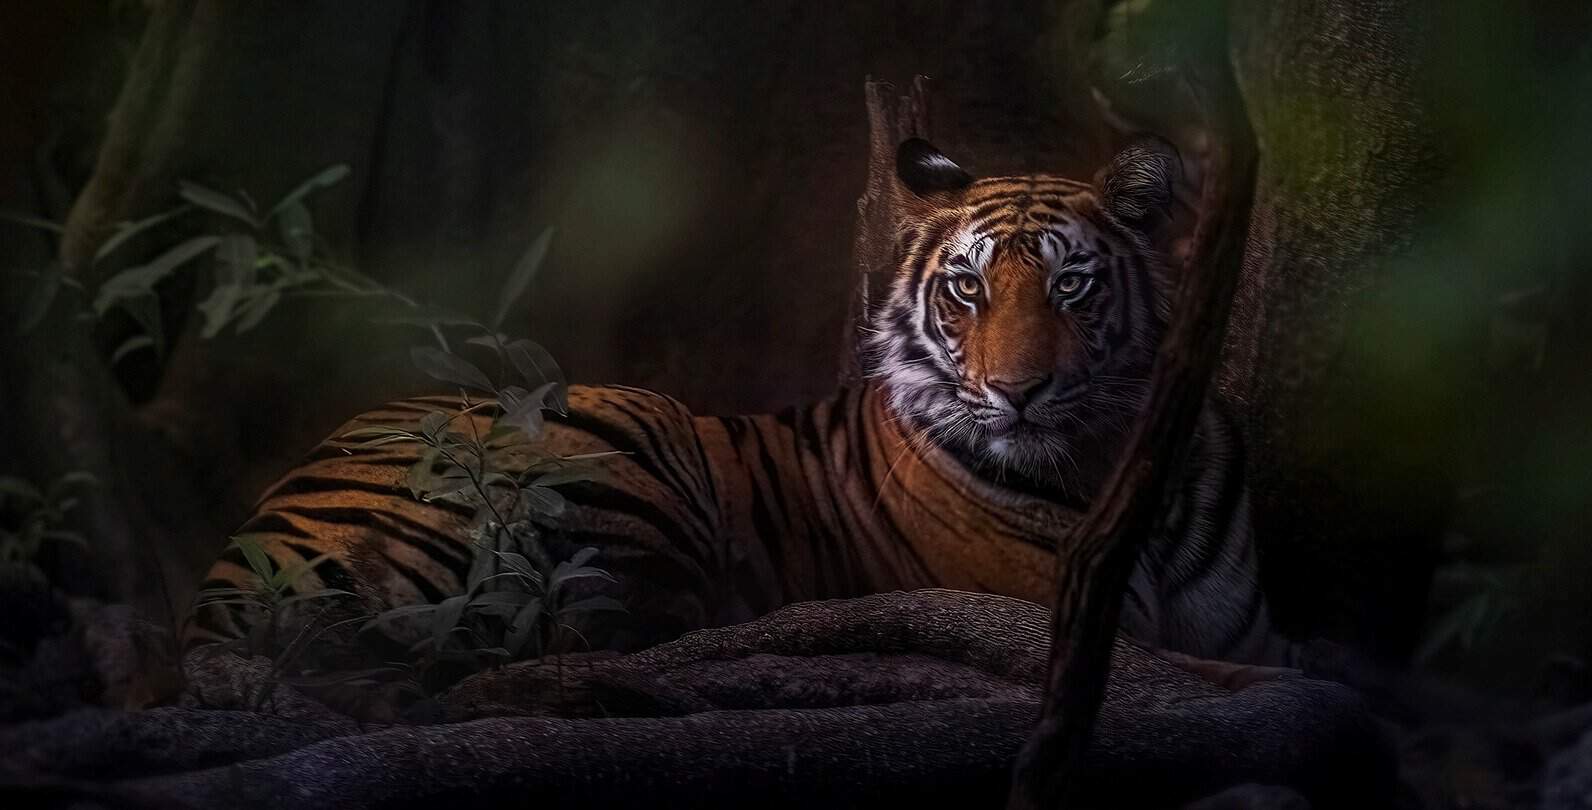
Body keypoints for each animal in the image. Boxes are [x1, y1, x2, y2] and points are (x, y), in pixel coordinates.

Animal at [183, 136, 1299, 671]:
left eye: (1070, 285)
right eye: (967, 289)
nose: (1017, 392)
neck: (1120, 461)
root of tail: (234, 577)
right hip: (628, 434)